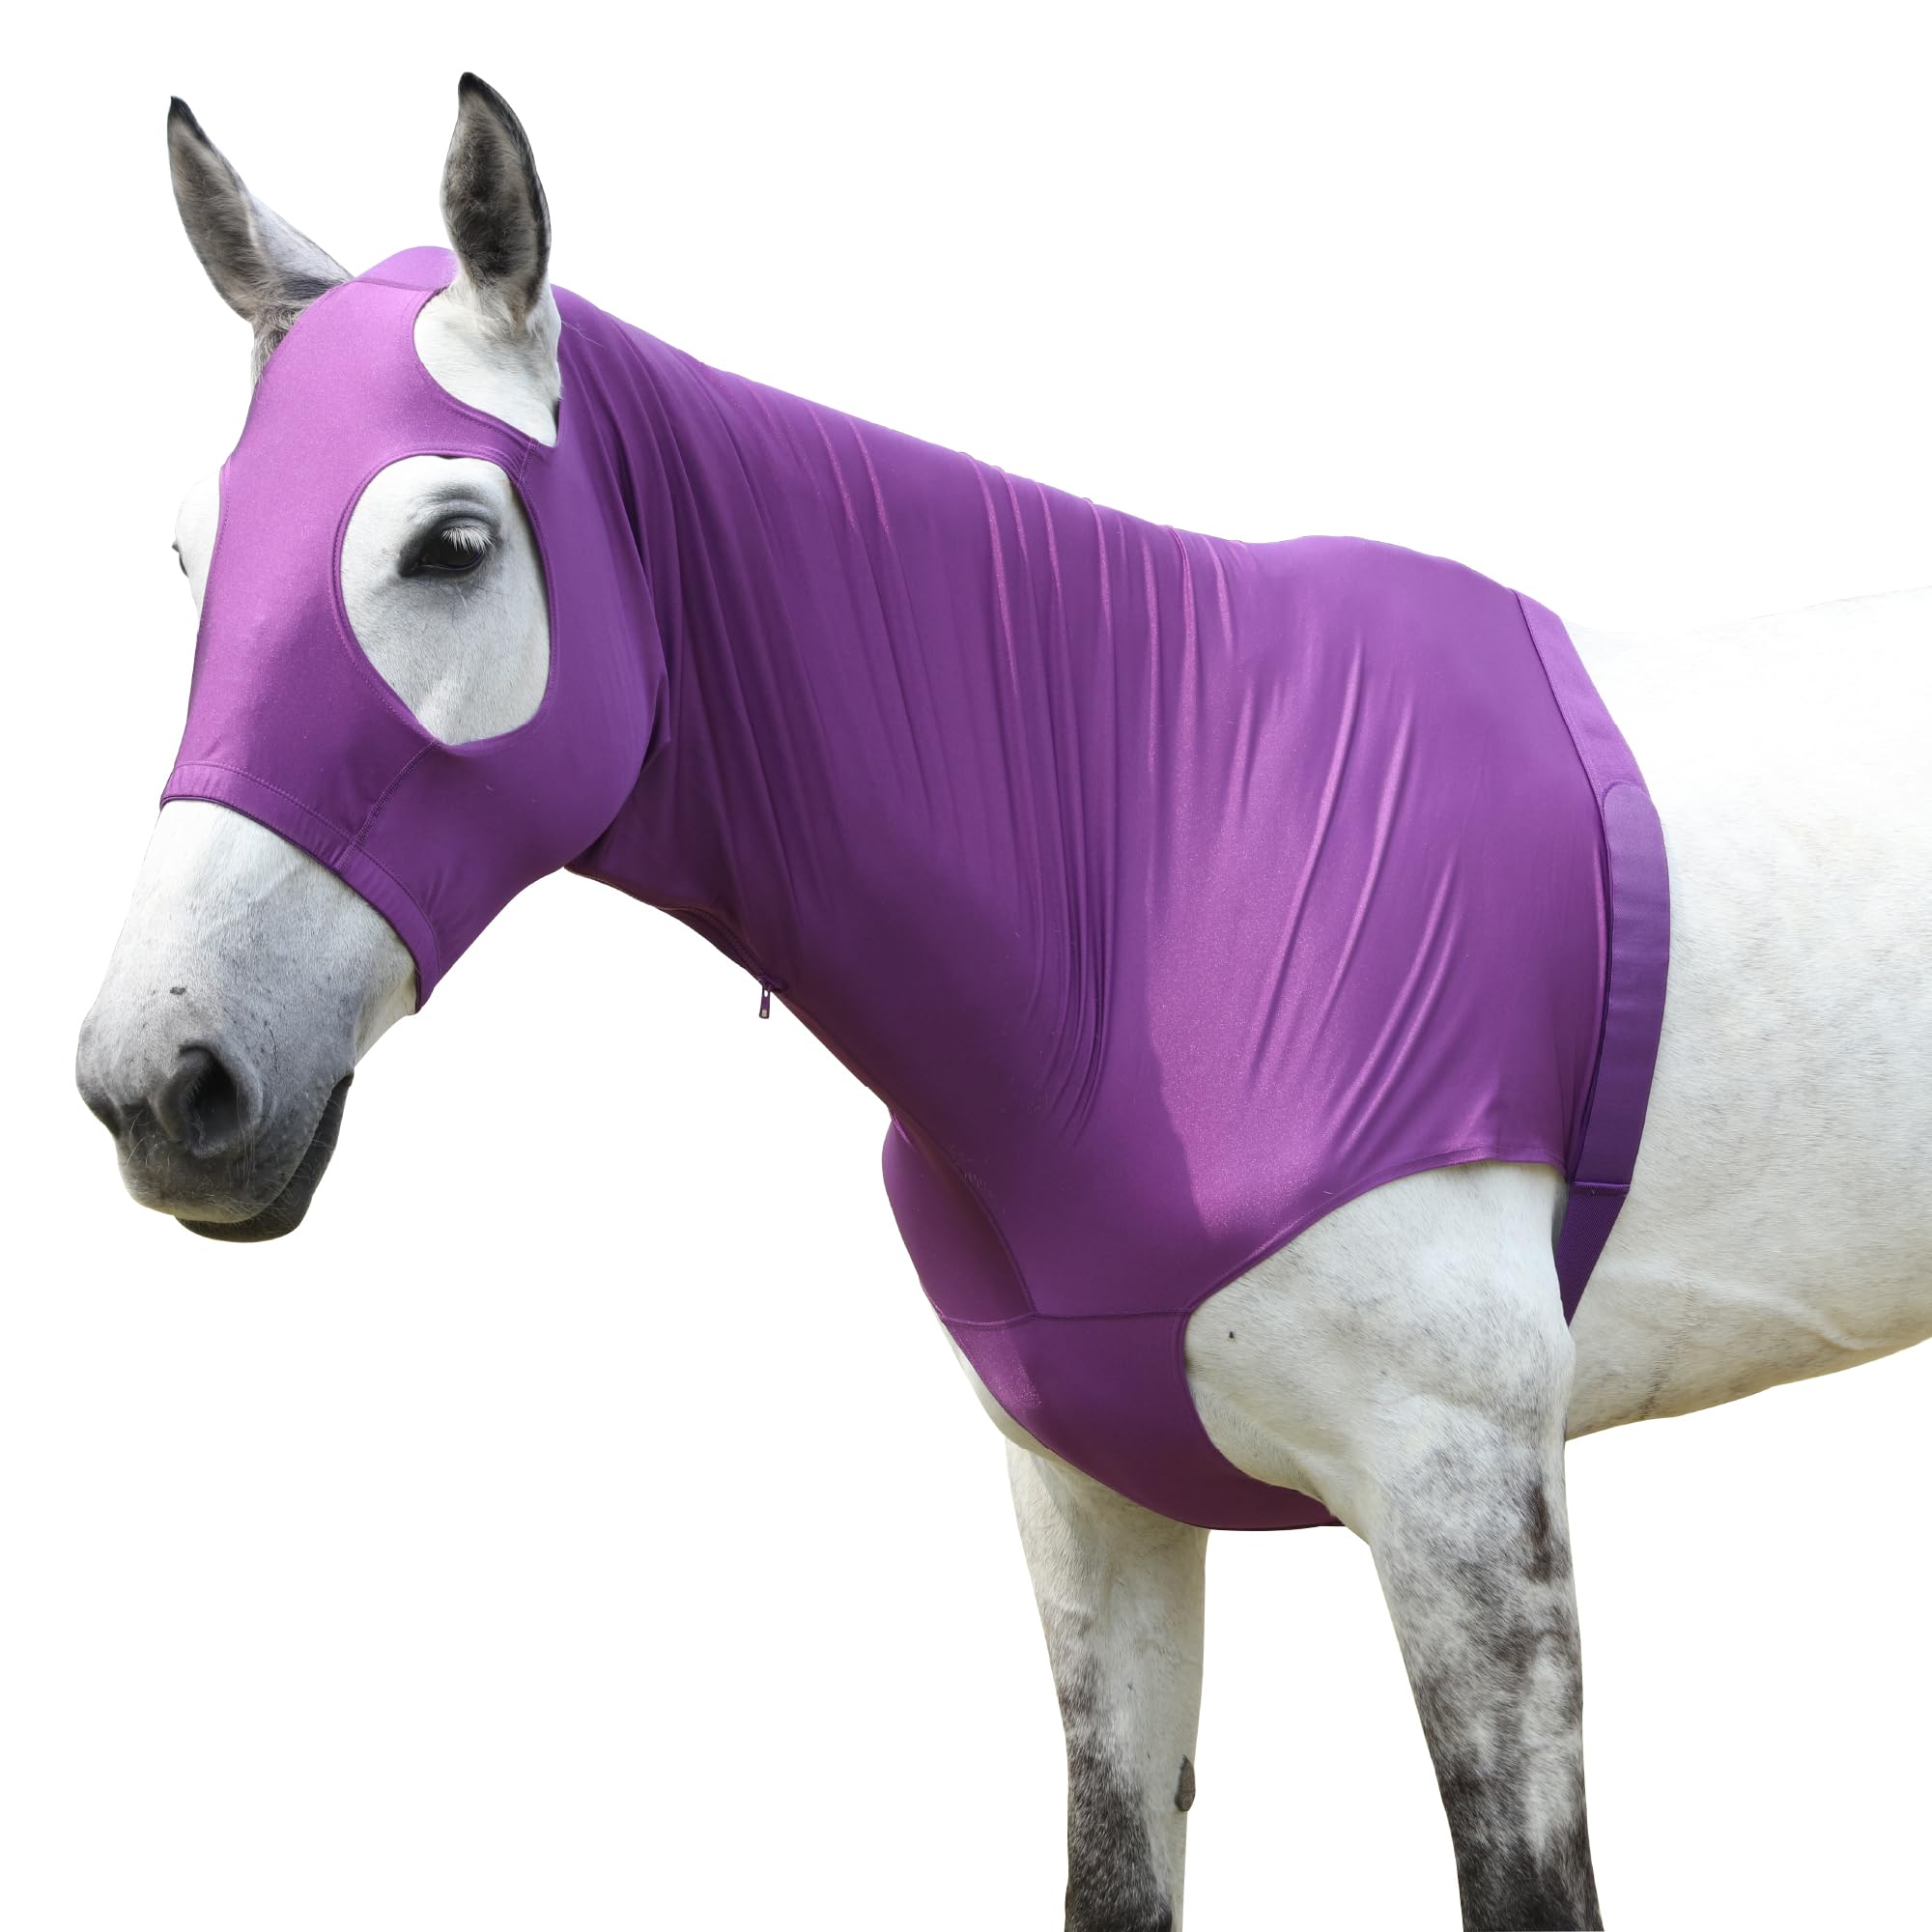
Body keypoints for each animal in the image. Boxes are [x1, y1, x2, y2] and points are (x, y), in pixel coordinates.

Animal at [73, 75, 1930, 1931]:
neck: (1156, 867)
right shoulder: (1088, 1506)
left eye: (449, 544)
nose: (160, 1081)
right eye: (186, 554)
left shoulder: (1467, 1508)